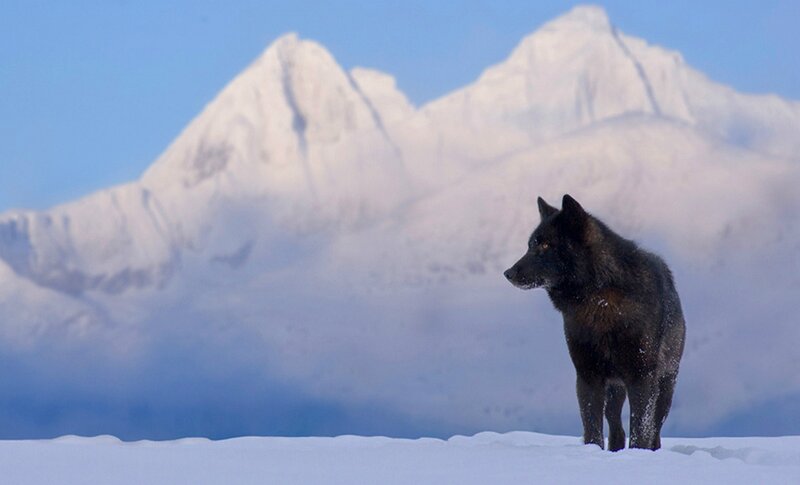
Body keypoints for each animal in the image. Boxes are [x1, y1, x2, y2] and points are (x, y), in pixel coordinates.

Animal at [504, 194, 685, 451]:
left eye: (546, 245)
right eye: (530, 245)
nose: (508, 273)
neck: (599, 300)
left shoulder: (641, 376)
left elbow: (641, 429)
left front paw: (638, 453)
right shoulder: (587, 376)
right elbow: (592, 428)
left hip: (665, 388)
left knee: (654, 429)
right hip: (614, 390)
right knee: (616, 427)